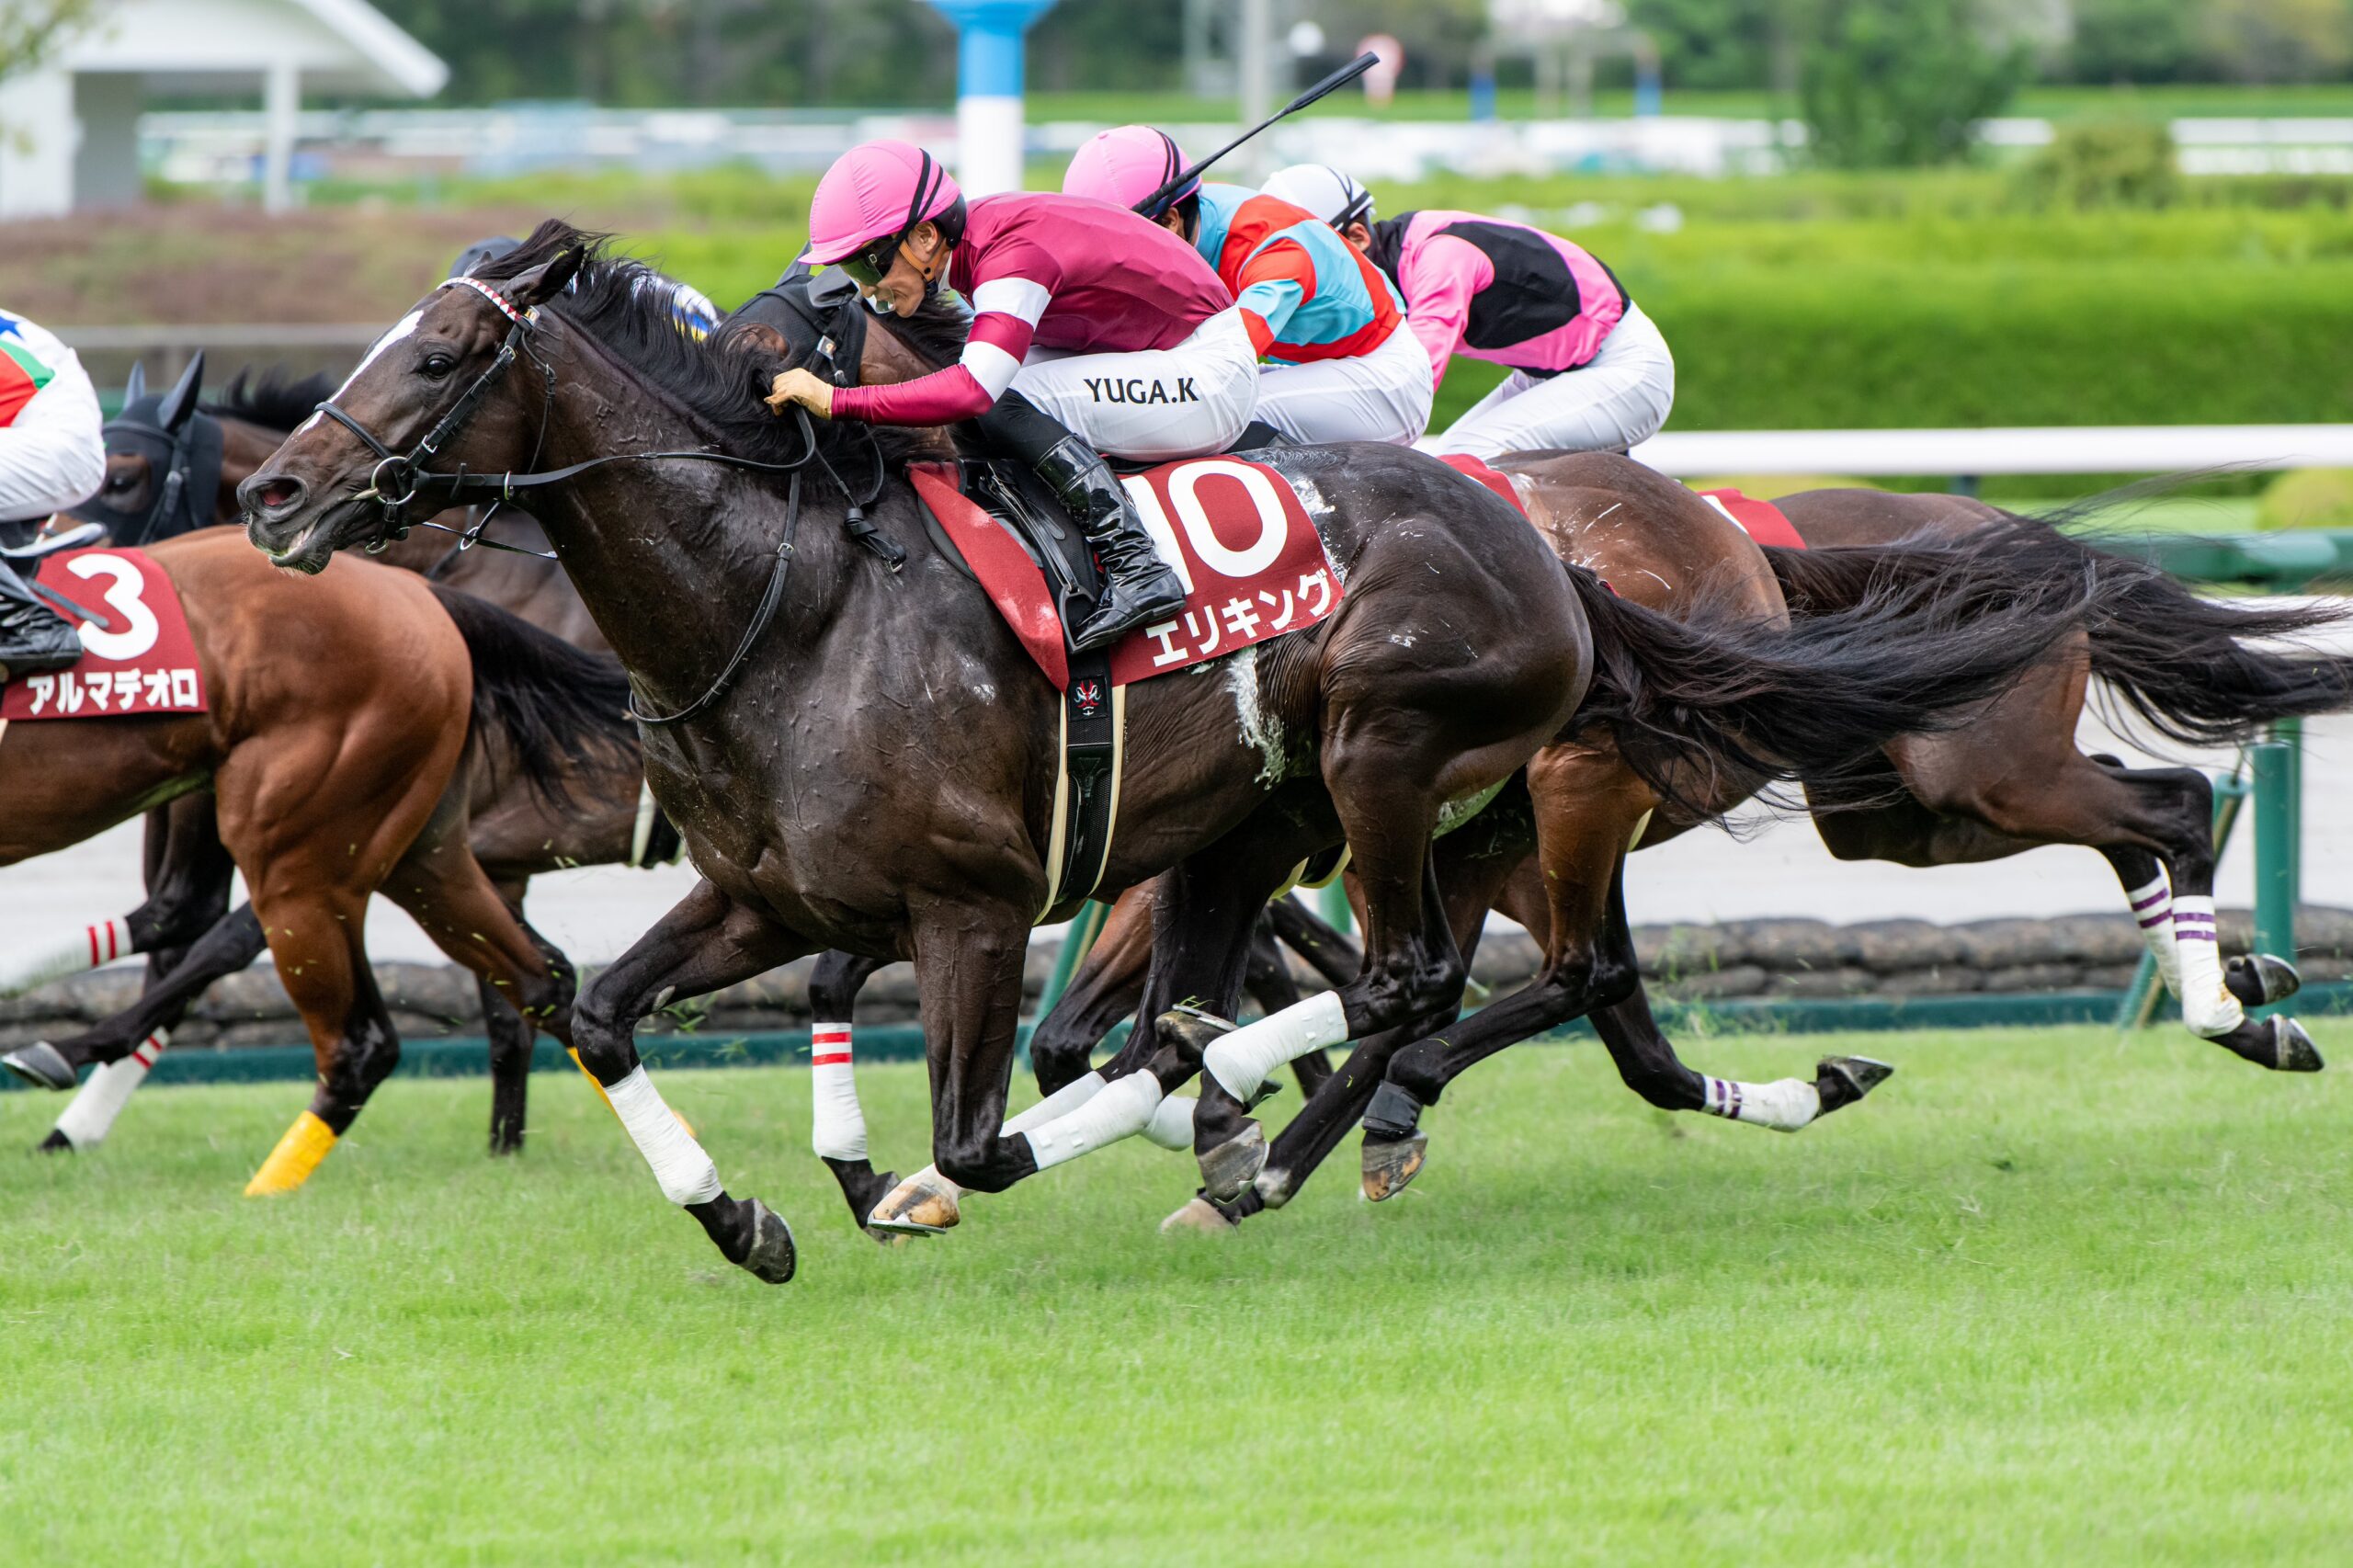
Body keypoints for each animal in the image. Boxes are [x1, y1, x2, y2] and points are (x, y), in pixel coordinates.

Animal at [241, 224, 2098, 1282]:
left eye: (442, 353)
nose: (270, 494)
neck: (787, 603)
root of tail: (1549, 549)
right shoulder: (769, 891)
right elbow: (603, 1013)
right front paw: (750, 1218)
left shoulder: (978, 902)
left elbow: (984, 1134)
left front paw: (960, 1168)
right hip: (1269, 819)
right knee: (1466, 986)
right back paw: (1264, 1133)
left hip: (1393, 759)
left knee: (1414, 976)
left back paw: (1253, 1128)